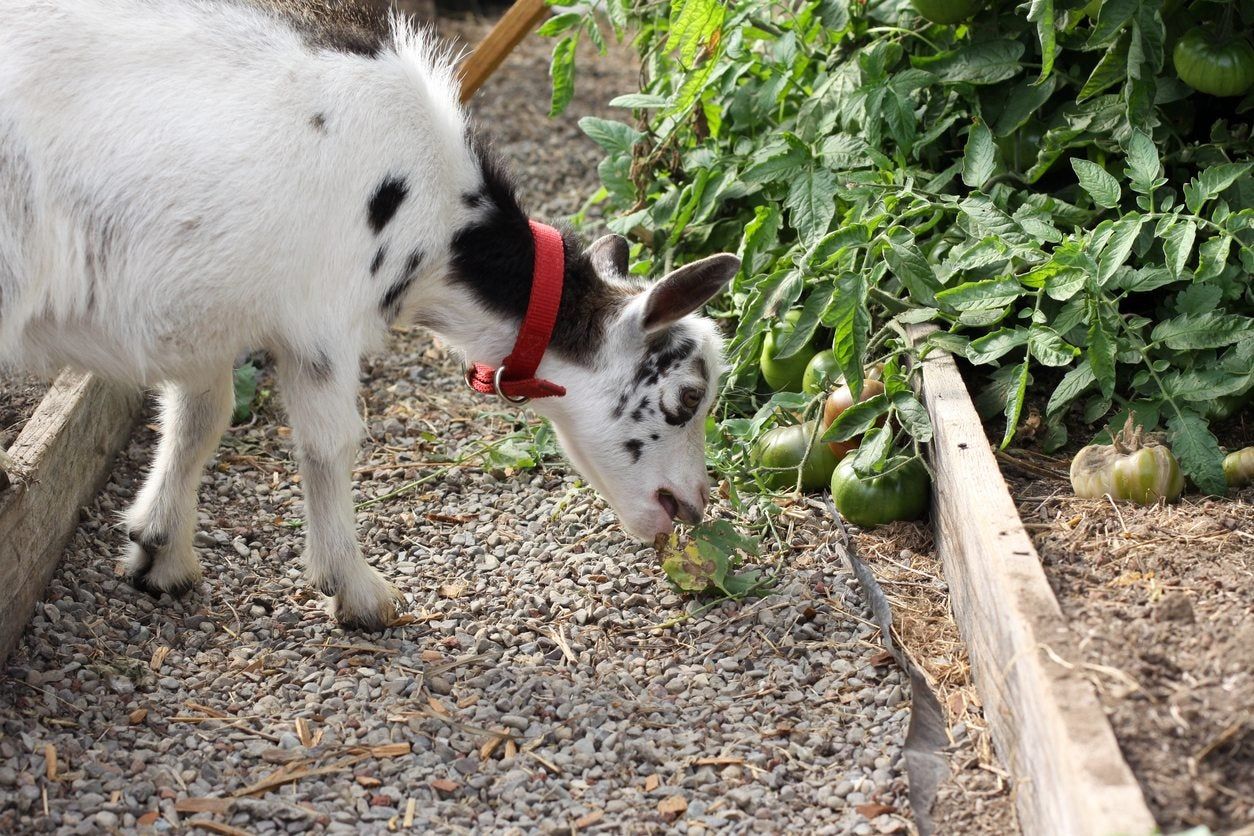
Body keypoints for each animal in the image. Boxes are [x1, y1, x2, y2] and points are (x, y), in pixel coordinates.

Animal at [0, 0, 737, 626]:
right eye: (685, 397)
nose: (693, 506)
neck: (436, 217)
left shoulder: (209, 306)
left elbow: (199, 417)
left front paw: (160, 552)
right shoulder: (319, 317)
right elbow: (332, 444)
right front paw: (357, 591)